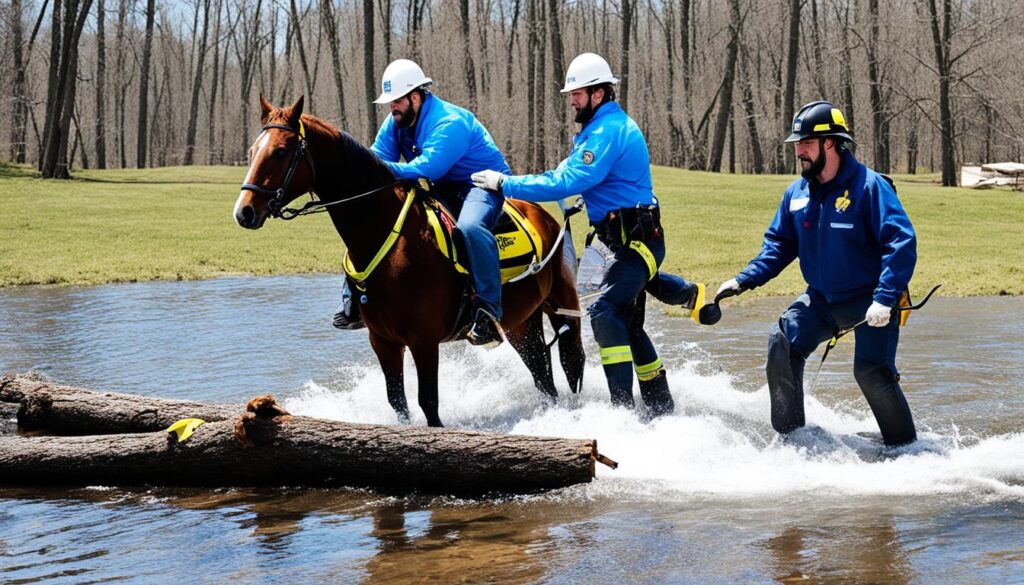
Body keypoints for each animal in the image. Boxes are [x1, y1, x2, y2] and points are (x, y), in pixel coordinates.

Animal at [234, 94, 585, 426]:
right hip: (521, 324)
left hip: (563, 304)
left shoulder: (424, 341)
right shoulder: (383, 342)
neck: (389, 236)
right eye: (252, 151)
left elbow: (428, 403)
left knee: (572, 362)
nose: (244, 211)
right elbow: (398, 403)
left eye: (280, 151)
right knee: (543, 376)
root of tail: (547, 217)